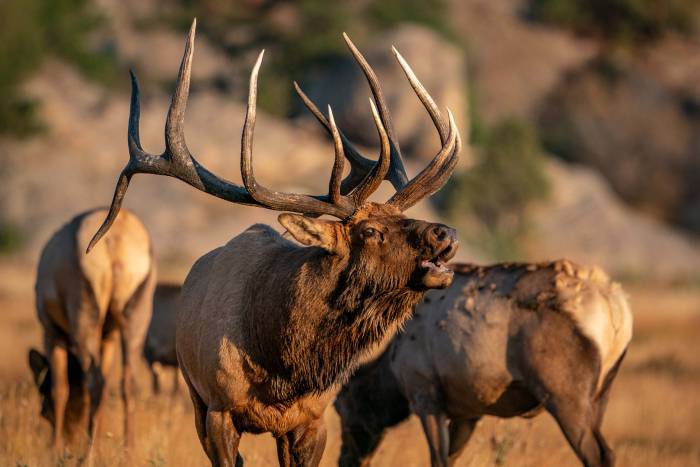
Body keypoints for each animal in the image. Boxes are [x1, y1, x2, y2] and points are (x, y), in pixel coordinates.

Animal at [28, 208, 156, 453]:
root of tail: (117, 237)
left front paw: (54, 449)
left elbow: (61, 388)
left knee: (95, 382)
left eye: (43, 401)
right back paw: (127, 450)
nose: (70, 437)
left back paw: (88, 454)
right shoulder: (108, 337)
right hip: (137, 312)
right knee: (127, 381)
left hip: (85, 312)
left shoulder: (52, 332)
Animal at [86, 19, 463, 467]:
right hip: (195, 398)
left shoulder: (313, 420)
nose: (446, 233)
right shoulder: (219, 409)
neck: (283, 365)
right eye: (369, 231)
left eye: (402, 218)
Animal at [335, 260, 633, 467]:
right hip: (601, 393)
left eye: (341, 408)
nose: (344, 460)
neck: (392, 374)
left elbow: (438, 460)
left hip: (564, 394)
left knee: (598, 454)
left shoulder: (425, 395)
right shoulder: (469, 412)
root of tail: (614, 306)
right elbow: (451, 458)